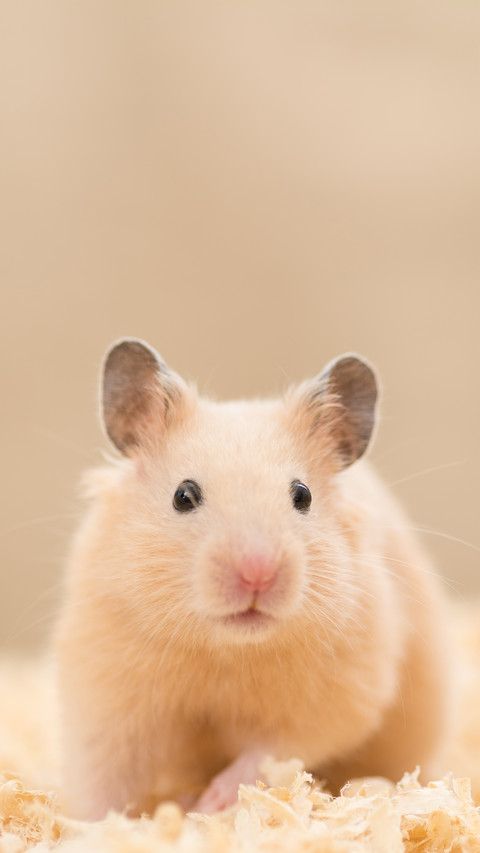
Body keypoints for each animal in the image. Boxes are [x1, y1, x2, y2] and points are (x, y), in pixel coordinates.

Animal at [55, 338, 451, 820]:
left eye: (303, 495)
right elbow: (103, 775)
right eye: (183, 496)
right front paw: (96, 825)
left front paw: (209, 804)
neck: (227, 651)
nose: (257, 573)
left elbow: (267, 754)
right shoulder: (105, 689)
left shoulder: (335, 697)